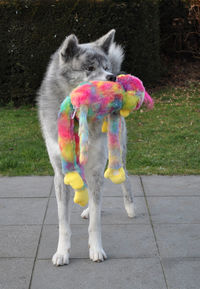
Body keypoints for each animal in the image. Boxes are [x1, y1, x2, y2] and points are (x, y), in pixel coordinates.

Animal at [36, 29, 135, 266]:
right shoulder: (61, 173)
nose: (112, 77)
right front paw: (62, 252)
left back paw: (129, 208)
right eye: (89, 68)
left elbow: (96, 223)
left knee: (123, 178)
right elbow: (63, 223)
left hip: (116, 154)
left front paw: (96, 249)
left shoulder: (97, 167)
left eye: (106, 67)